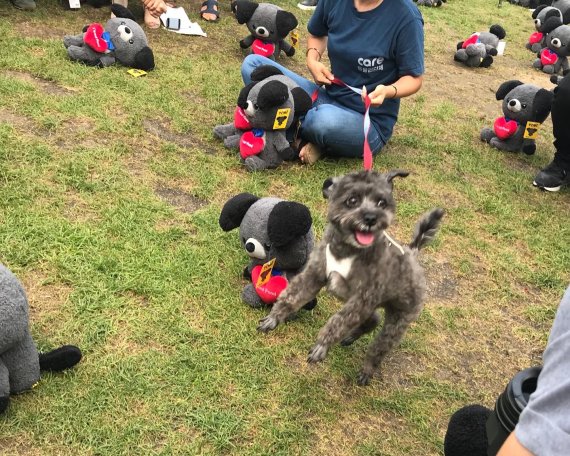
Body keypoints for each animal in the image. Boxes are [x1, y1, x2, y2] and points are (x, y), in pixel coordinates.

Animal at [258, 170, 444, 384]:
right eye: (352, 200)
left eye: (382, 202)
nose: (371, 218)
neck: (347, 252)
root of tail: (412, 252)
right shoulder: (314, 276)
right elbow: (291, 297)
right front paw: (274, 318)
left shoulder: (361, 299)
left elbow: (338, 321)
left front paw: (322, 345)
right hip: (371, 305)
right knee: (374, 318)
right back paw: (351, 337)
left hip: (398, 319)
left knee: (379, 347)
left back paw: (367, 370)